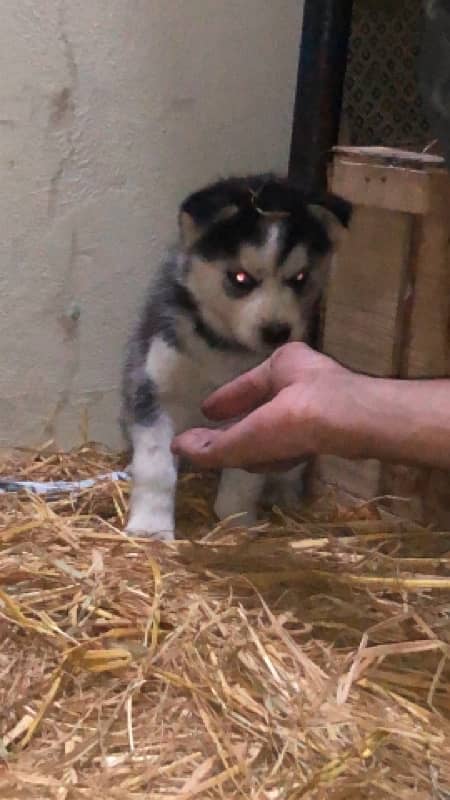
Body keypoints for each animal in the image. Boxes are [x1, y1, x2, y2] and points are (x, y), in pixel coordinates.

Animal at [120, 173, 352, 536]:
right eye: (240, 277)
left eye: (300, 277)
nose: (277, 332)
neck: (224, 349)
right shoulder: (152, 388)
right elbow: (156, 467)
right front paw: (151, 526)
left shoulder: (256, 408)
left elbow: (244, 473)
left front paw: (237, 520)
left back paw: (283, 494)